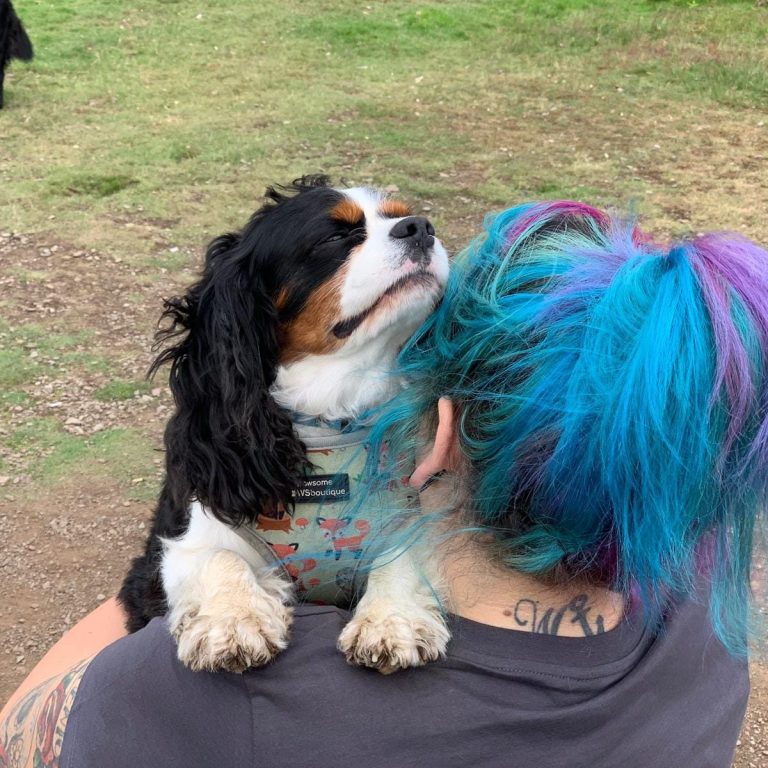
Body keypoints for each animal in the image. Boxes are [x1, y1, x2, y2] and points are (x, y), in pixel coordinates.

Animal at [119, 176, 451, 673]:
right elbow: (216, 557)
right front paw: (233, 622)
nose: (420, 227)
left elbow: (403, 553)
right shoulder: (177, 545)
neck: (330, 416)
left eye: (399, 215)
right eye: (334, 237)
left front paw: (392, 621)